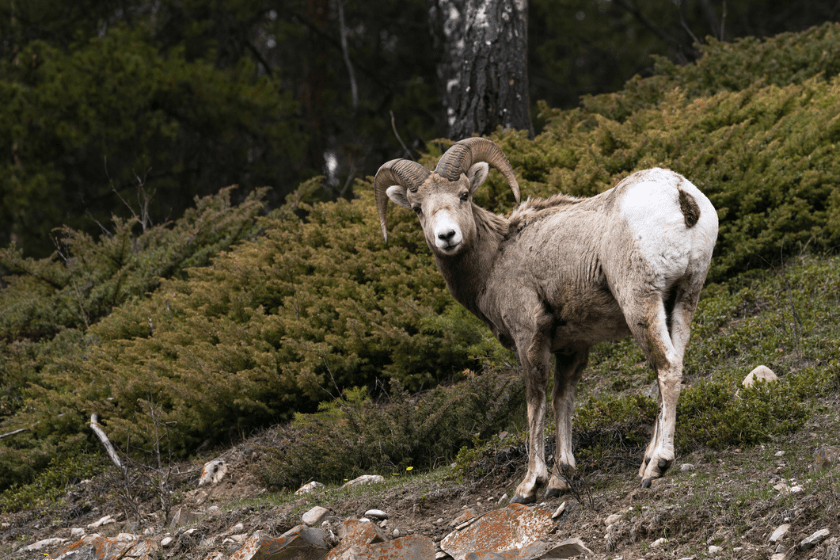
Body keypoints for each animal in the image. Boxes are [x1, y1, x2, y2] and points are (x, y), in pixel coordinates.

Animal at [374, 137, 716, 504]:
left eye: (463, 195)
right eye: (417, 208)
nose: (447, 237)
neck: (495, 259)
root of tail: (678, 193)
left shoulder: (530, 337)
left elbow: (534, 402)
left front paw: (529, 485)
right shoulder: (572, 348)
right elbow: (561, 400)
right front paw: (560, 479)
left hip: (640, 302)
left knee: (666, 366)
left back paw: (658, 466)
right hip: (683, 299)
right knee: (671, 364)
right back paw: (646, 463)